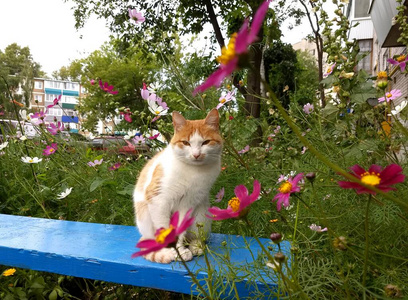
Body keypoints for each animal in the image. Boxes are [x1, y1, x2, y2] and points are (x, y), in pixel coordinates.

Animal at [133, 109, 223, 264]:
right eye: (185, 143)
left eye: (206, 142)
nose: (196, 154)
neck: (193, 171)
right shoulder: (159, 201)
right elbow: (164, 229)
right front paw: (173, 252)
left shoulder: (187, 205)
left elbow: (180, 231)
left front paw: (180, 250)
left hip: (201, 217)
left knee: (195, 237)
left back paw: (196, 246)